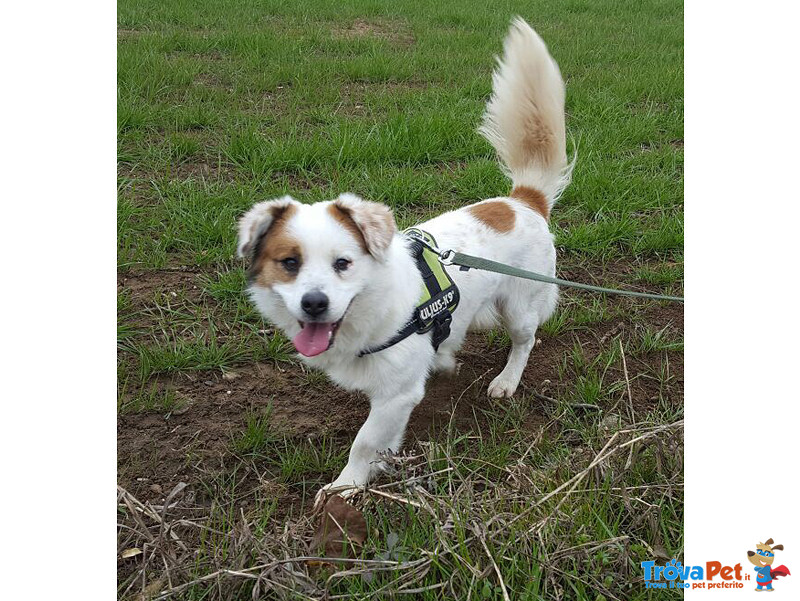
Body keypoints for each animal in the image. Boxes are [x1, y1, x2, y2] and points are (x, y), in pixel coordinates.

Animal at [234, 17, 572, 496]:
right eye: (289, 263)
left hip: (520, 306)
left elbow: (363, 441)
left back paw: (506, 380)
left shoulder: (396, 392)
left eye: (343, 263)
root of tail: (523, 199)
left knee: (525, 342)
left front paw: (346, 487)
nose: (314, 304)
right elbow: (381, 439)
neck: (371, 311)